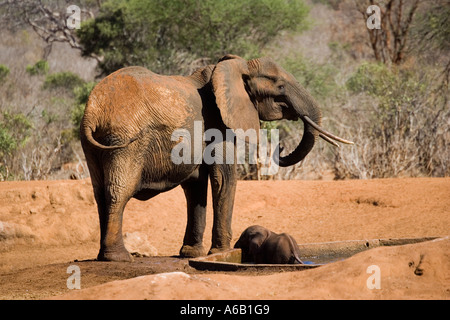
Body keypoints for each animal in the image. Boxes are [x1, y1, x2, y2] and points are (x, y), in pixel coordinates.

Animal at [81, 53, 356, 262]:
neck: (234, 67)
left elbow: (196, 188)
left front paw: (192, 254)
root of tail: (93, 110)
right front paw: (221, 252)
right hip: (126, 139)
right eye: (279, 86)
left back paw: (103, 255)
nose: (279, 148)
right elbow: (223, 178)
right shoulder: (219, 124)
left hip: (93, 144)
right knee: (118, 191)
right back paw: (119, 257)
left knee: (99, 193)